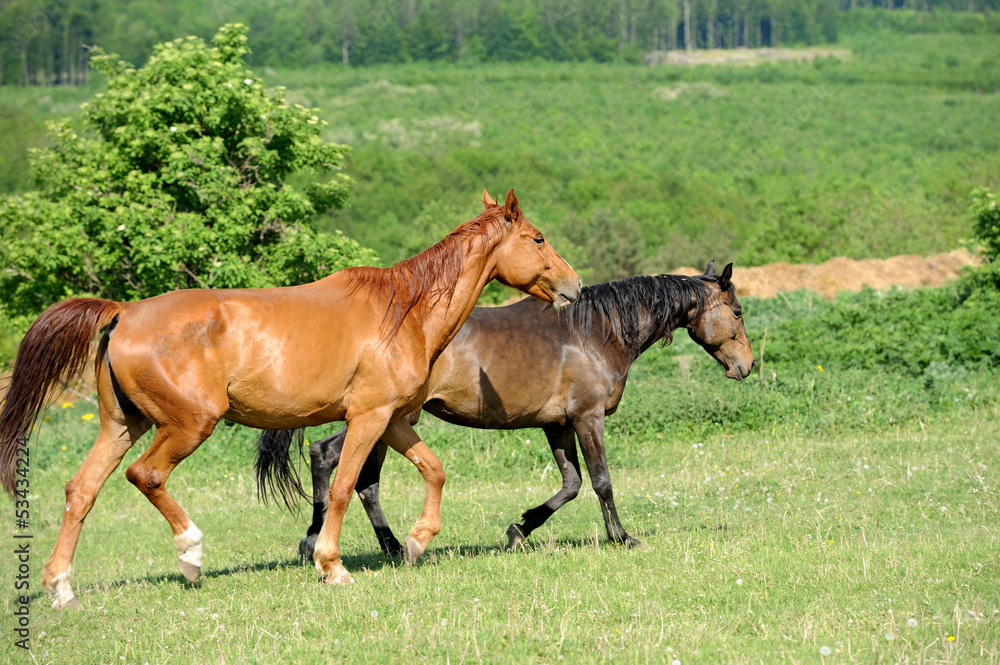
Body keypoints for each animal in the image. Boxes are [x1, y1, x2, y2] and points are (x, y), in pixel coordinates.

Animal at [0, 189, 581, 608]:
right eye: (537, 238)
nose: (574, 287)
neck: (405, 311)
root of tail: (124, 311)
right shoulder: (367, 418)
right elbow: (344, 487)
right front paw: (332, 566)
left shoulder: (393, 419)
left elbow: (433, 470)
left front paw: (416, 542)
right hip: (187, 426)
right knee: (146, 476)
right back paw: (191, 554)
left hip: (123, 424)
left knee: (81, 490)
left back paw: (62, 589)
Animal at [257, 261, 754, 559]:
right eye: (737, 311)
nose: (747, 366)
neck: (595, 332)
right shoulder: (587, 418)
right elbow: (602, 482)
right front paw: (621, 537)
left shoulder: (557, 425)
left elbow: (571, 485)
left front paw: (521, 528)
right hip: (385, 419)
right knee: (327, 457)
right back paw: (322, 542)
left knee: (364, 483)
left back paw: (388, 545)